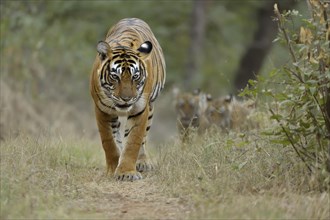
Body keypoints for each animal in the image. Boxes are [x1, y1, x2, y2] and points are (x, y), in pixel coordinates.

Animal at [89, 18, 165, 180]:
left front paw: (126, 173)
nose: (126, 98)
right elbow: (109, 142)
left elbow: (133, 141)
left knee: (143, 138)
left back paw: (142, 162)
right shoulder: (102, 109)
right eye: (114, 76)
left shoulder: (140, 110)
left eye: (135, 76)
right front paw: (113, 169)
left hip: (150, 108)